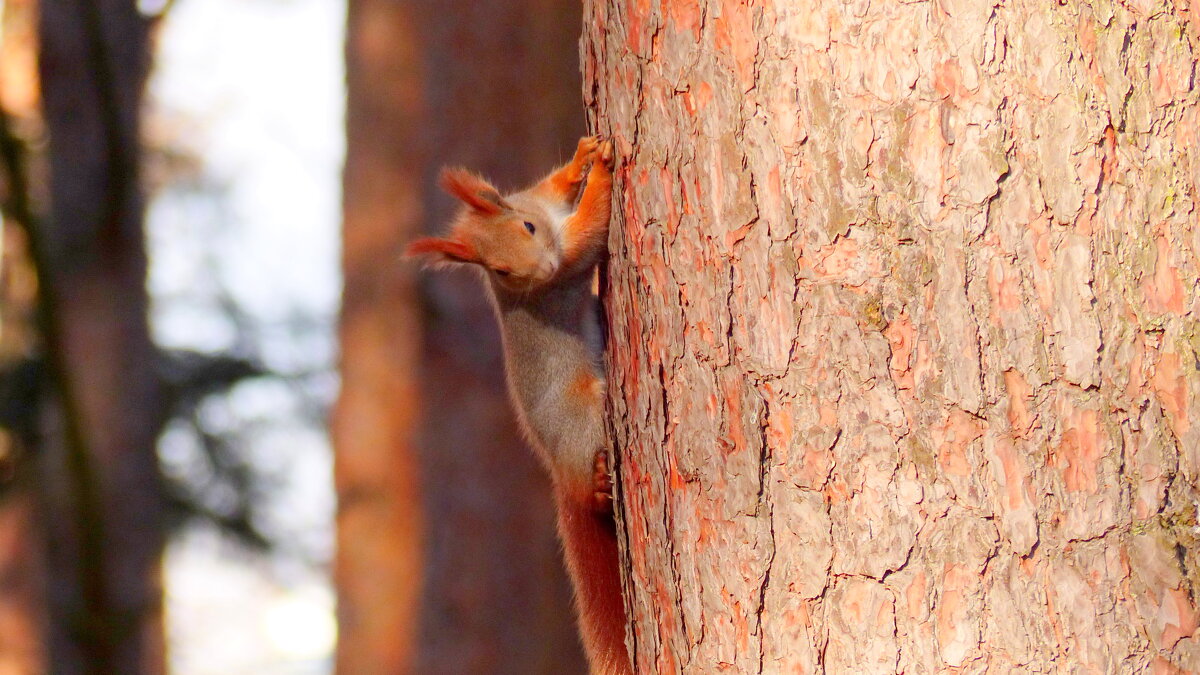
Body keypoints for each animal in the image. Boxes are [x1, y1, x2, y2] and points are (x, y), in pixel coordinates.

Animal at [405, 136, 633, 672]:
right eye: (500, 270)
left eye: (526, 226)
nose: (544, 269)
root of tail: (559, 472)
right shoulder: (569, 264)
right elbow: (590, 227)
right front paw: (603, 176)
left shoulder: (538, 201)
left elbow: (557, 186)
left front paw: (585, 156)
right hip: (584, 417)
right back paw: (598, 485)